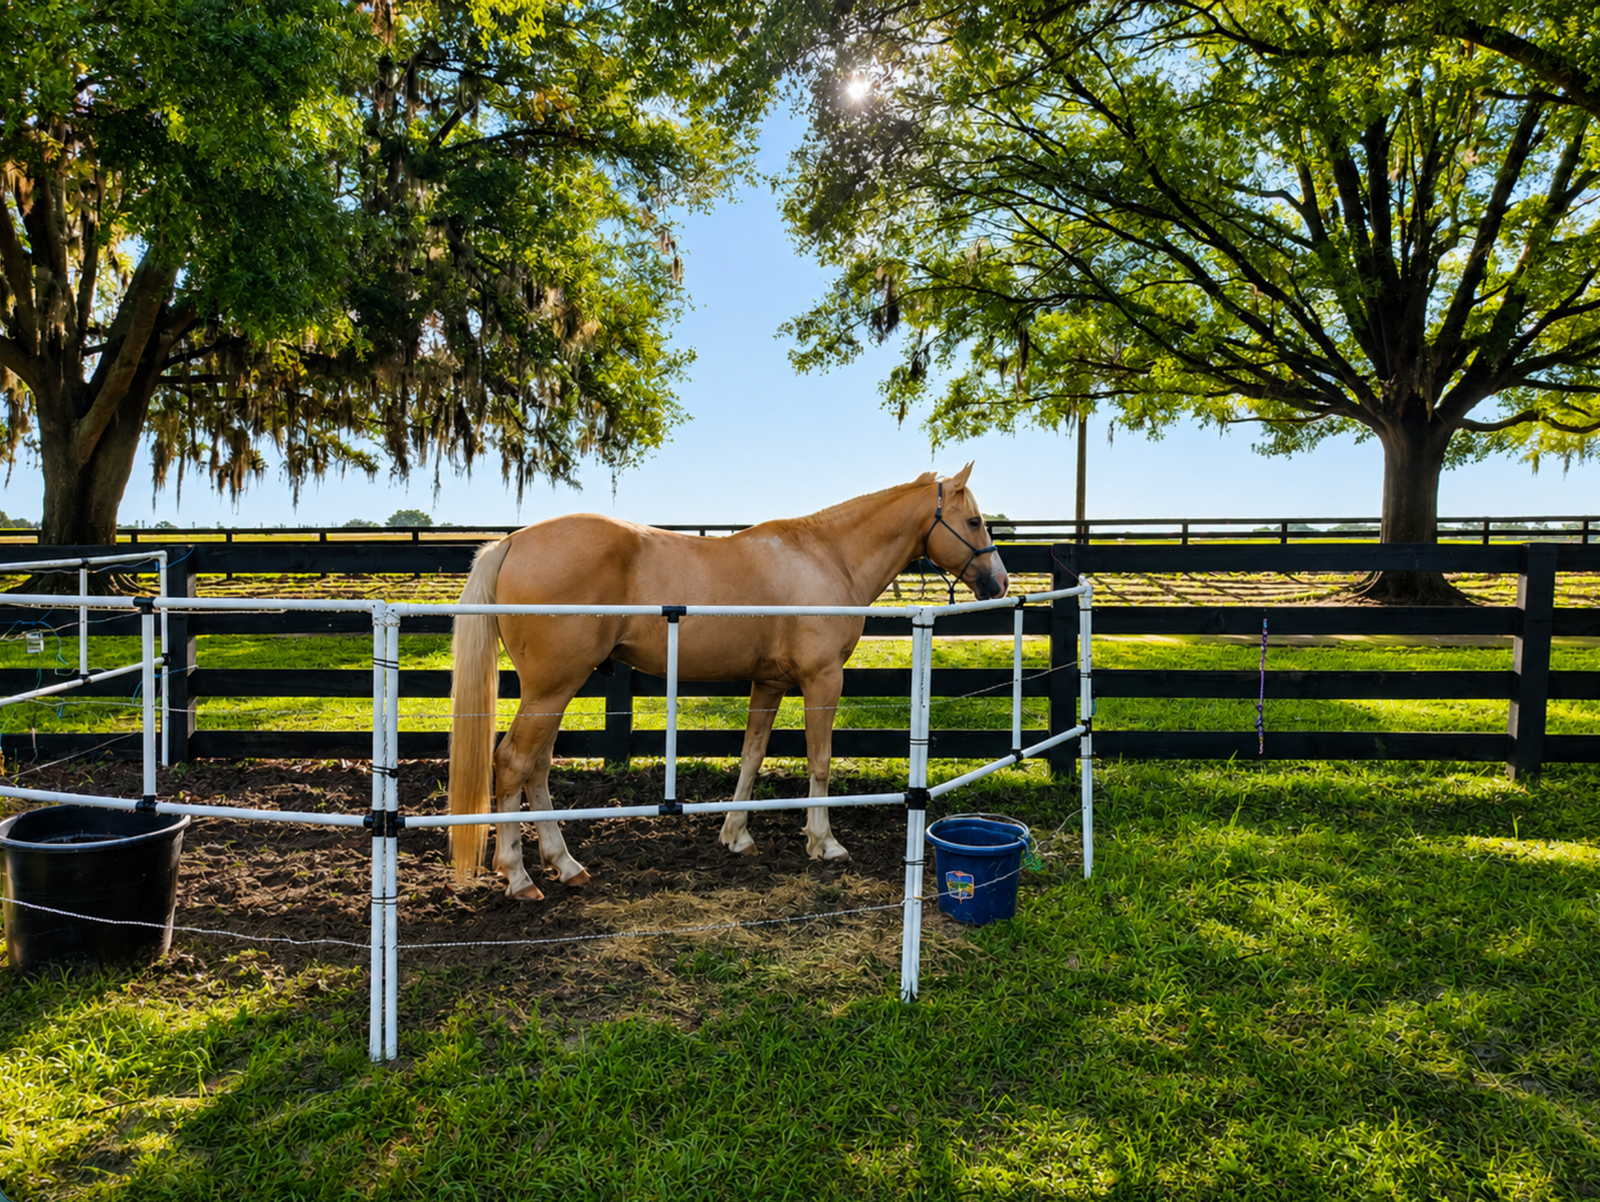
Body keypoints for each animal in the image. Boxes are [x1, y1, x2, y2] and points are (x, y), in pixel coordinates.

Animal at [446, 463, 1010, 898]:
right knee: (513, 763)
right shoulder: (823, 680)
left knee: (536, 768)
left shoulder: (770, 683)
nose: (999, 583)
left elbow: (752, 755)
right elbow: (820, 761)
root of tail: (512, 542)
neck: (827, 556)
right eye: (975, 520)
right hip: (553, 688)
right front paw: (824, 843)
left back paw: (565, 864)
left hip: (556, 691)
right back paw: (519, 876)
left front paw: (736, 835)